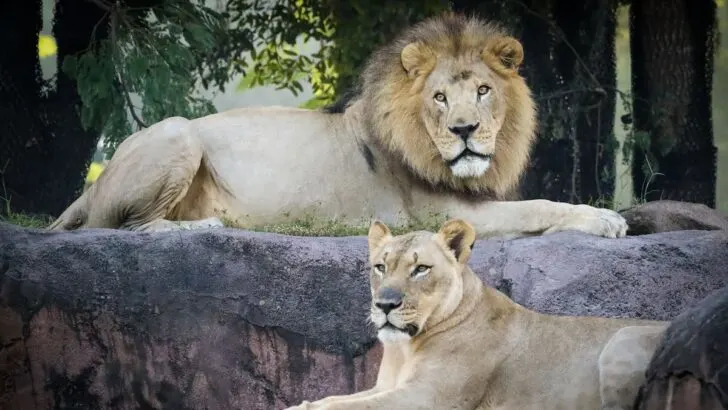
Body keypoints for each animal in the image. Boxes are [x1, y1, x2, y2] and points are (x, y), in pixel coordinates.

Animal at [49, 13, 628, 239]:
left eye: (483, 90)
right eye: (439, 98)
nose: (464, 131)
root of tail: (96, 181)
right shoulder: (438, 212)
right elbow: (539, 207)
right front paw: (603, 219)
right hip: (175, 132)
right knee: (125, 227)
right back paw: (210, 227)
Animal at [286, 219, 668, 410]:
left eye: (421, 269)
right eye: (380, 267)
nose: (385, 305)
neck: (406, 348)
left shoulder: (429, 397)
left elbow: (343, 407)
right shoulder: (386, 386)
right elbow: (334, 398)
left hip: (622, 341)